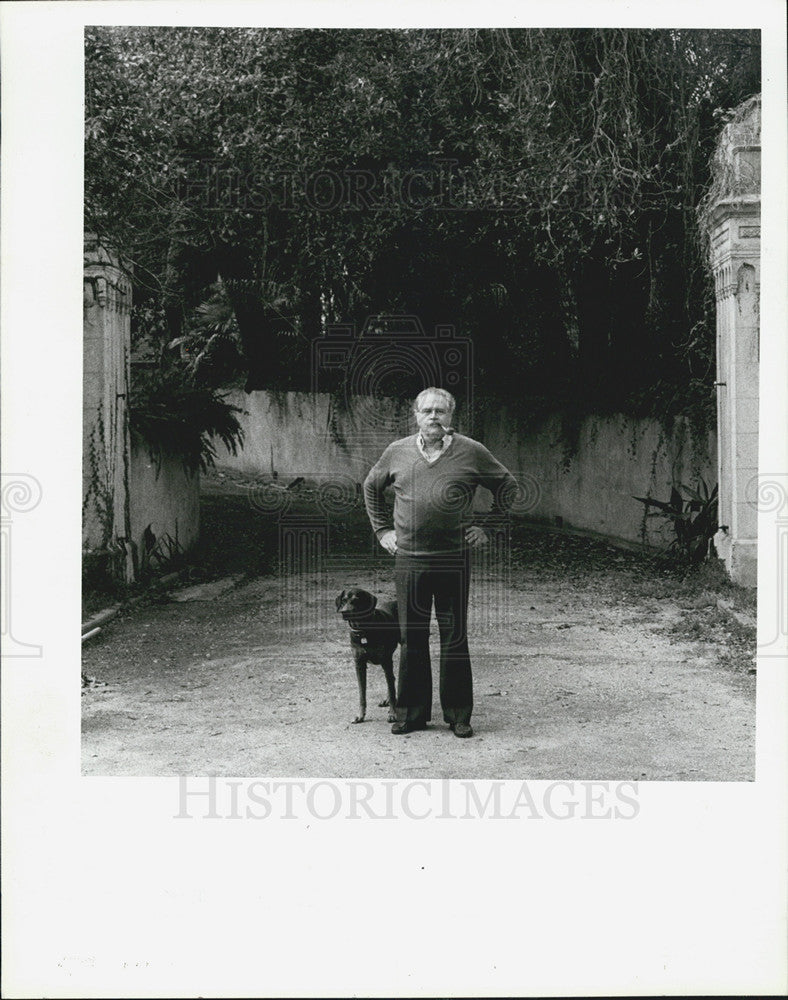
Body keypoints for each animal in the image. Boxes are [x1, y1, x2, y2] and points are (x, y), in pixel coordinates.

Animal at [336, 588, 400, 724]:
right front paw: (361, 715)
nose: (344, 612)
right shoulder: (359, 664)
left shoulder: (386, 661)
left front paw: (392, 714)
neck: (364, 631)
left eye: (356, 600)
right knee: (392, 679)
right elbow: (362, 694)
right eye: (344, 600)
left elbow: (392, 690)